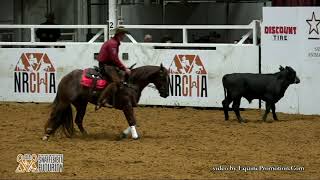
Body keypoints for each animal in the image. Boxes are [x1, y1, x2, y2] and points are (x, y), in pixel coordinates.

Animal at [42, 63, 170, 141]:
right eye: (163, 78)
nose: (166, 94)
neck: (130, 83)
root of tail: (65, 77)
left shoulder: (129, 106)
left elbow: (134, 121)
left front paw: (124, 134)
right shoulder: (127, 105)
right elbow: (132, 120)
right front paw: (135, 136)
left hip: (81, 104)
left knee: (77, 120)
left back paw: (86, 135)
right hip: (64, 101)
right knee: (55, 116)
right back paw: (46, 135)